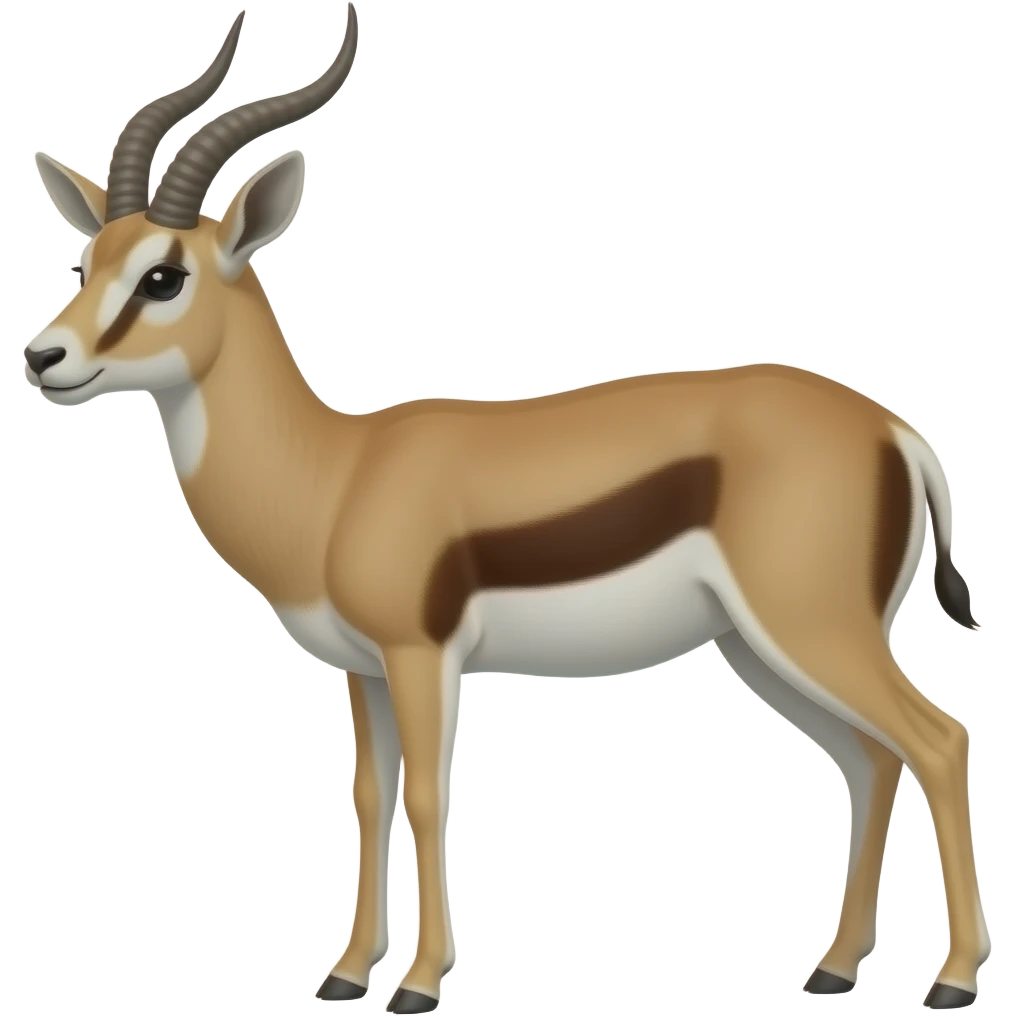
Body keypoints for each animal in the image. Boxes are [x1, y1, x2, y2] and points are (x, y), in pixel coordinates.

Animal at [22, 8, 989, 1014]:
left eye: (163, 277)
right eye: (87, 260)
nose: (43, 358)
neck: (335, 476)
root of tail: (894, 429)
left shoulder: (420, 655)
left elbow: (428, 793)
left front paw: (418, 983)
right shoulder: (363, 670)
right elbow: (368, 795)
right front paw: (346, 973)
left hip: (811, 628)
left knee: (938, 741)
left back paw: (953, 981)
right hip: (763, 647)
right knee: (872, 760)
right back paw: (834, 969)